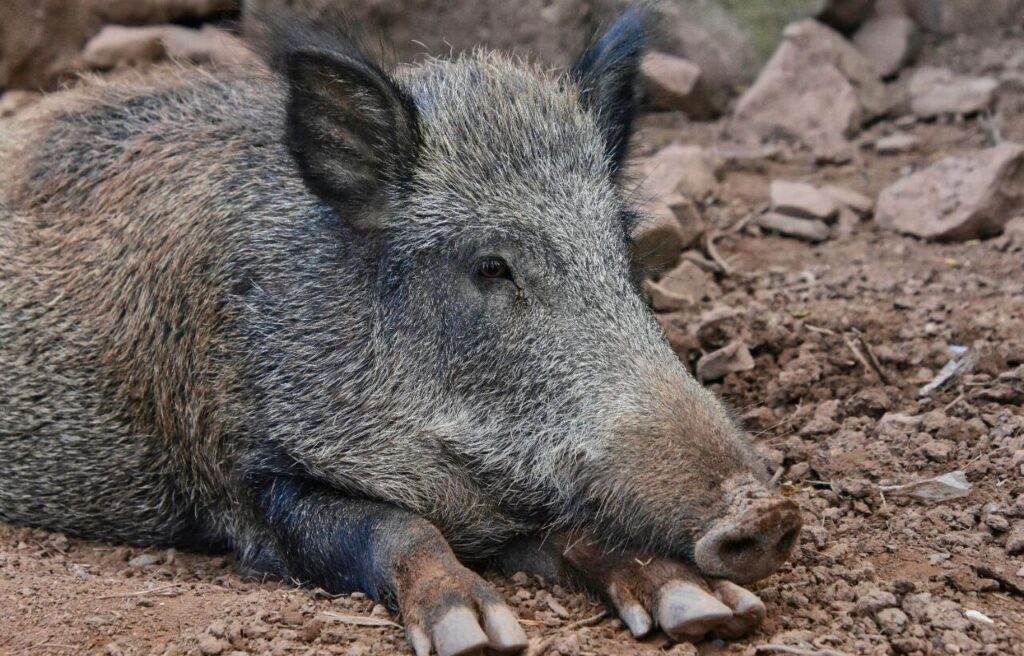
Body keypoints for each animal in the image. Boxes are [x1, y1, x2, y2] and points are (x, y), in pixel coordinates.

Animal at [0, 7, 802, 655]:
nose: (768, 510)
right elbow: (396, 528)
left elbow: (577, 530)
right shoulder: (246, 485)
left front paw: (714, 612)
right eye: (491, 266)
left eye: (624, 250)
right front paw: (476, 636)